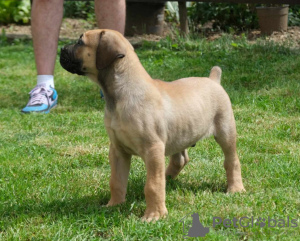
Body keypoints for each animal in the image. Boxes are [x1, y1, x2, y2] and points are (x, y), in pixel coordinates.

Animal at [59, 29, 245, 221]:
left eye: (80, 42)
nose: (61, 50)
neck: (121, 94)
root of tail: (213, 80)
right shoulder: (117, 150)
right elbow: (116, 181)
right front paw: (114, 205)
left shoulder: (153, 148)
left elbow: (153, 185)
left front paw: (154, 215)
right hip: (179, 134)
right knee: (180, 159)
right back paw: (168, 177)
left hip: (225, 131)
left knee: (232, 160)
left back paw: (235, 188)